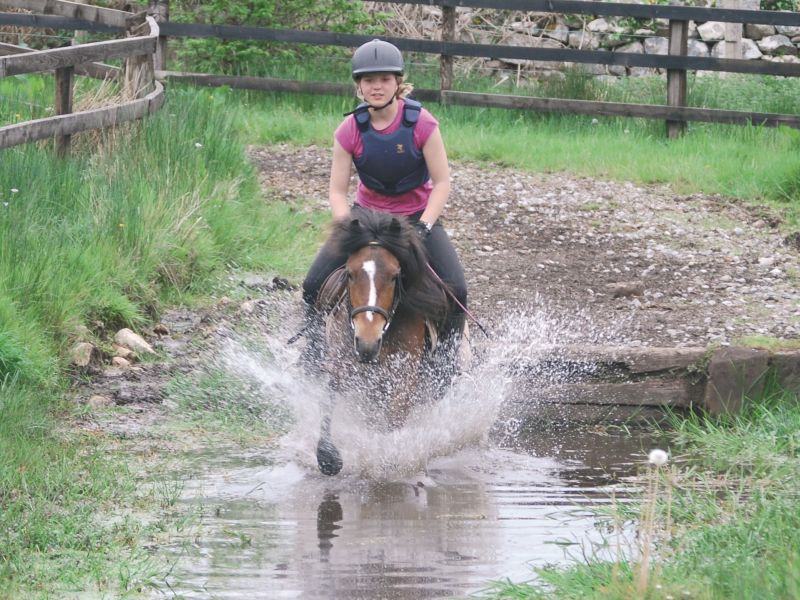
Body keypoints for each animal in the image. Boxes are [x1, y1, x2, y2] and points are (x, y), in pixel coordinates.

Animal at [312, 209, 450, 476]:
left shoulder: (405, 375)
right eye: (350, 274)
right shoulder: (340, 361)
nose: (368, 341)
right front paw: (328, 458)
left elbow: (393, 418)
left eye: (395, 276)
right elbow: (329, 397)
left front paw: (387, 459)